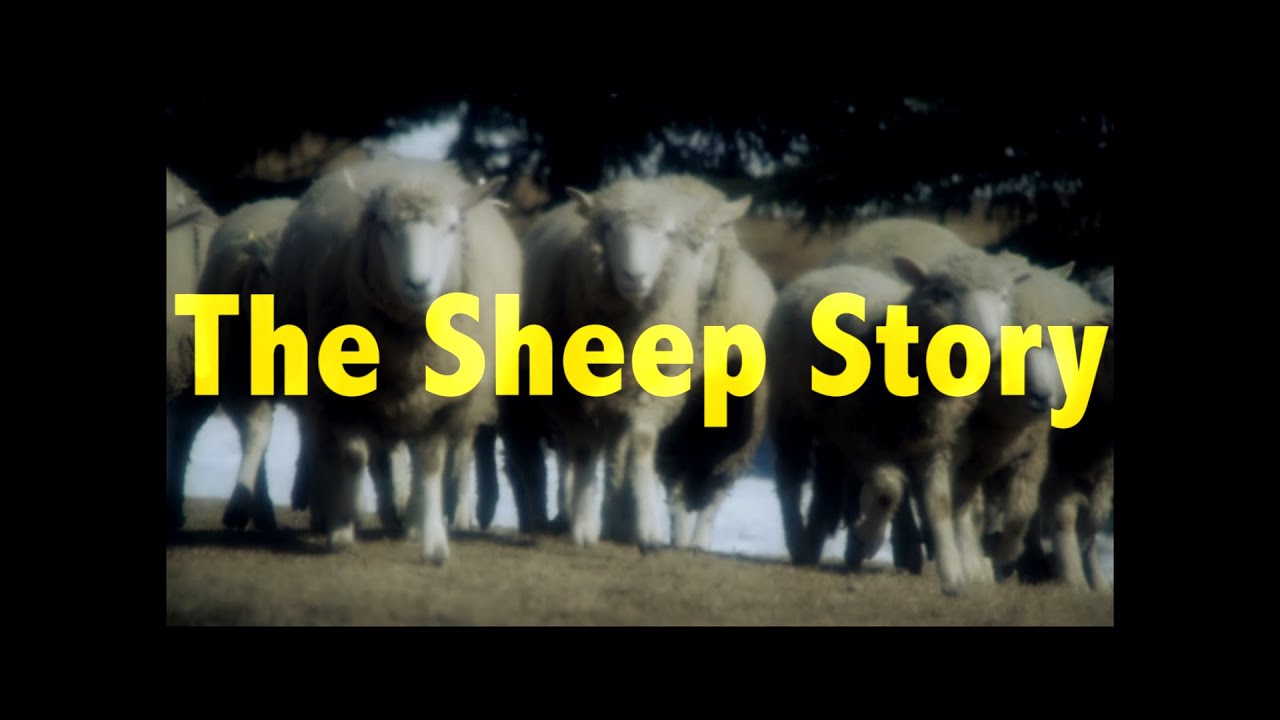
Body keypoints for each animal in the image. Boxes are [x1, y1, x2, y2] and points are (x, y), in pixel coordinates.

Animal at [270, 157, 517, 562]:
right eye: (384, 225)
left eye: (452, 227)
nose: (418, 283)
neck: (408, 345)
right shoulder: (340, 395)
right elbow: (353, 456)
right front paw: (343, 529)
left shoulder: (439, 402)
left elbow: (430, 464)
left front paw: (433, 543)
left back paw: (413, 519)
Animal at [502, 176, 737, 550]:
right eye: (609, 228)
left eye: (668, 233)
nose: (634, 276)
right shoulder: (570, 397)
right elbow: (584, 449)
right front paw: (584, 527)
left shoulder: (648, 388)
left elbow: (641, 443)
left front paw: (649, 530)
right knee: (572, 453)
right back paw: (571, 514)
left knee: (613, 447)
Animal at [773, 218, 1030, 594]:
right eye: (944, 294)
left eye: (1004, 296)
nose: (986, 341)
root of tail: (824, 272)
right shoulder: (861, 436)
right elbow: (887, 491)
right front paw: (867, 537)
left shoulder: (939, 442)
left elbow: (938, 505)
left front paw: (953, 576)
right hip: (792, 411)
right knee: (791, 478)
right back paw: (799, 543)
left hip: (832, 425)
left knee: (828, 481)